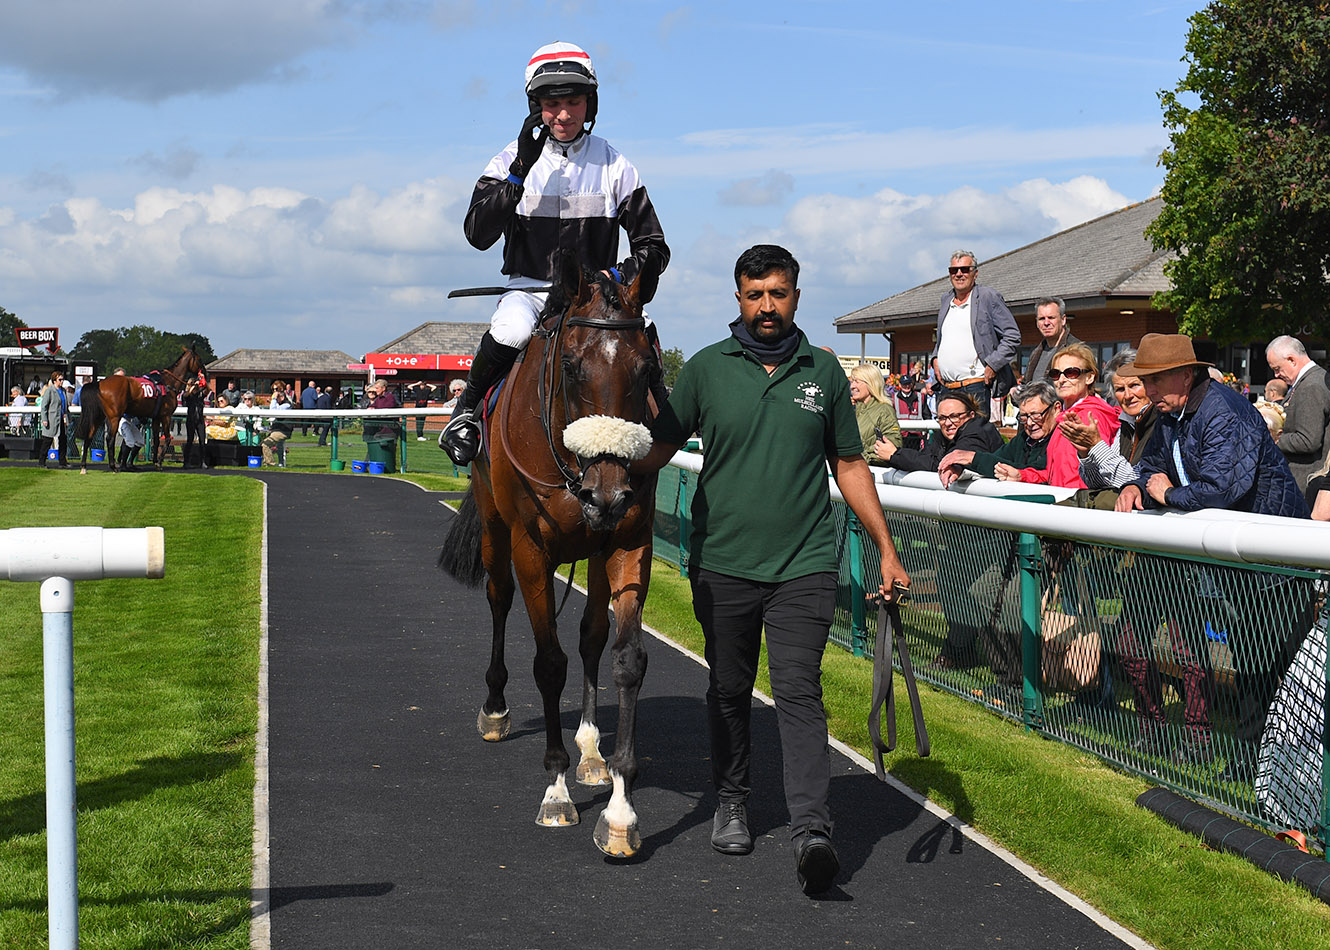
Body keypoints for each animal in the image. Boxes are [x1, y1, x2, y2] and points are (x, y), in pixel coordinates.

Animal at [77, 347, 207, 473]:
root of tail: (100, 383)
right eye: (199, 359)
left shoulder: (156, 417)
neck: (168, 382)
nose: (205, 372)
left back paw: (84, 466)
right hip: (114, 417)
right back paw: (113, 466)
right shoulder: (166, 416)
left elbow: (156, 440)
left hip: (99, 416)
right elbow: (167, 438)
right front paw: (159, 463)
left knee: (89, 436)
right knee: (110, 439)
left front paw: (155, 461)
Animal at [438, 253, 662, 858]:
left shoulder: (628, 541)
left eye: (645, 369)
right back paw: (495, 709)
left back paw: (589, 751)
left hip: (595, 549)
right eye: (572, 367)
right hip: (495, 529)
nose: (606, 494)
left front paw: (619, 809)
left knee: (589, 635)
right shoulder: (530, 548)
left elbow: (625, 659)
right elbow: (549, 663)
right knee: (498, 600)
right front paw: (556, 790)